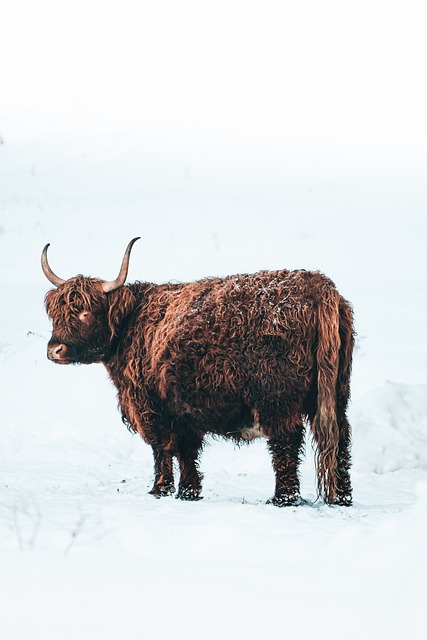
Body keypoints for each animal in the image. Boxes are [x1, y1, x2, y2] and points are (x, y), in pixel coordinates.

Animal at [41, 238, 356, 508]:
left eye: (85, 312)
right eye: (56, 313)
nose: (55, 349)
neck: (131, 325)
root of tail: (319, 288)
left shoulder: (150, 406)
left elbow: (162, 448)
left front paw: (160, 489)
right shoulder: (184, 410)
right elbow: (187, 451)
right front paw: (188, 492)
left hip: (277, 399)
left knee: (286, 442)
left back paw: (283, 498)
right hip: (336, 393)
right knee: (340, 439)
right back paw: (341, 496)